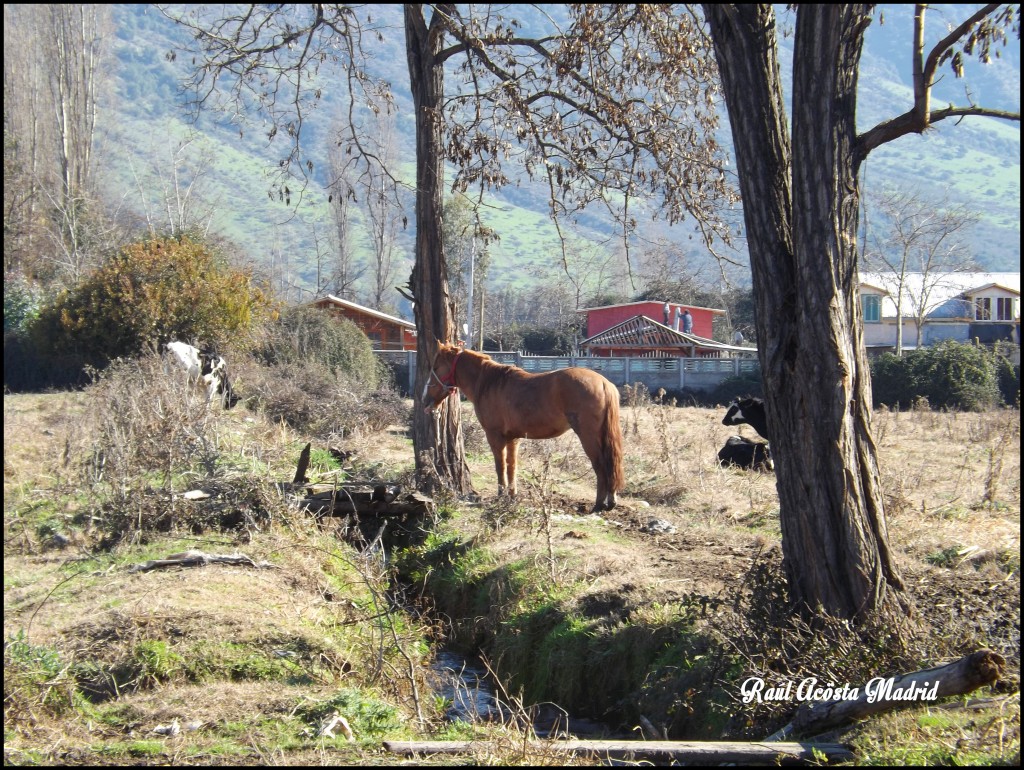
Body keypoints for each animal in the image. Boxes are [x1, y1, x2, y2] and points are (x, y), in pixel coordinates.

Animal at [421, 341, 622, 511]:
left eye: (436, 367)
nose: (425, 400)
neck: (488, 383)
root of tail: (603, 383)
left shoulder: (495, 436)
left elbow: (500, 466)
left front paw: (501, 495)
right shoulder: (513, 438)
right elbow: (512, 466)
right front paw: (512, 495)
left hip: (589, 437)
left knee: (601, 465)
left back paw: (599, 504)